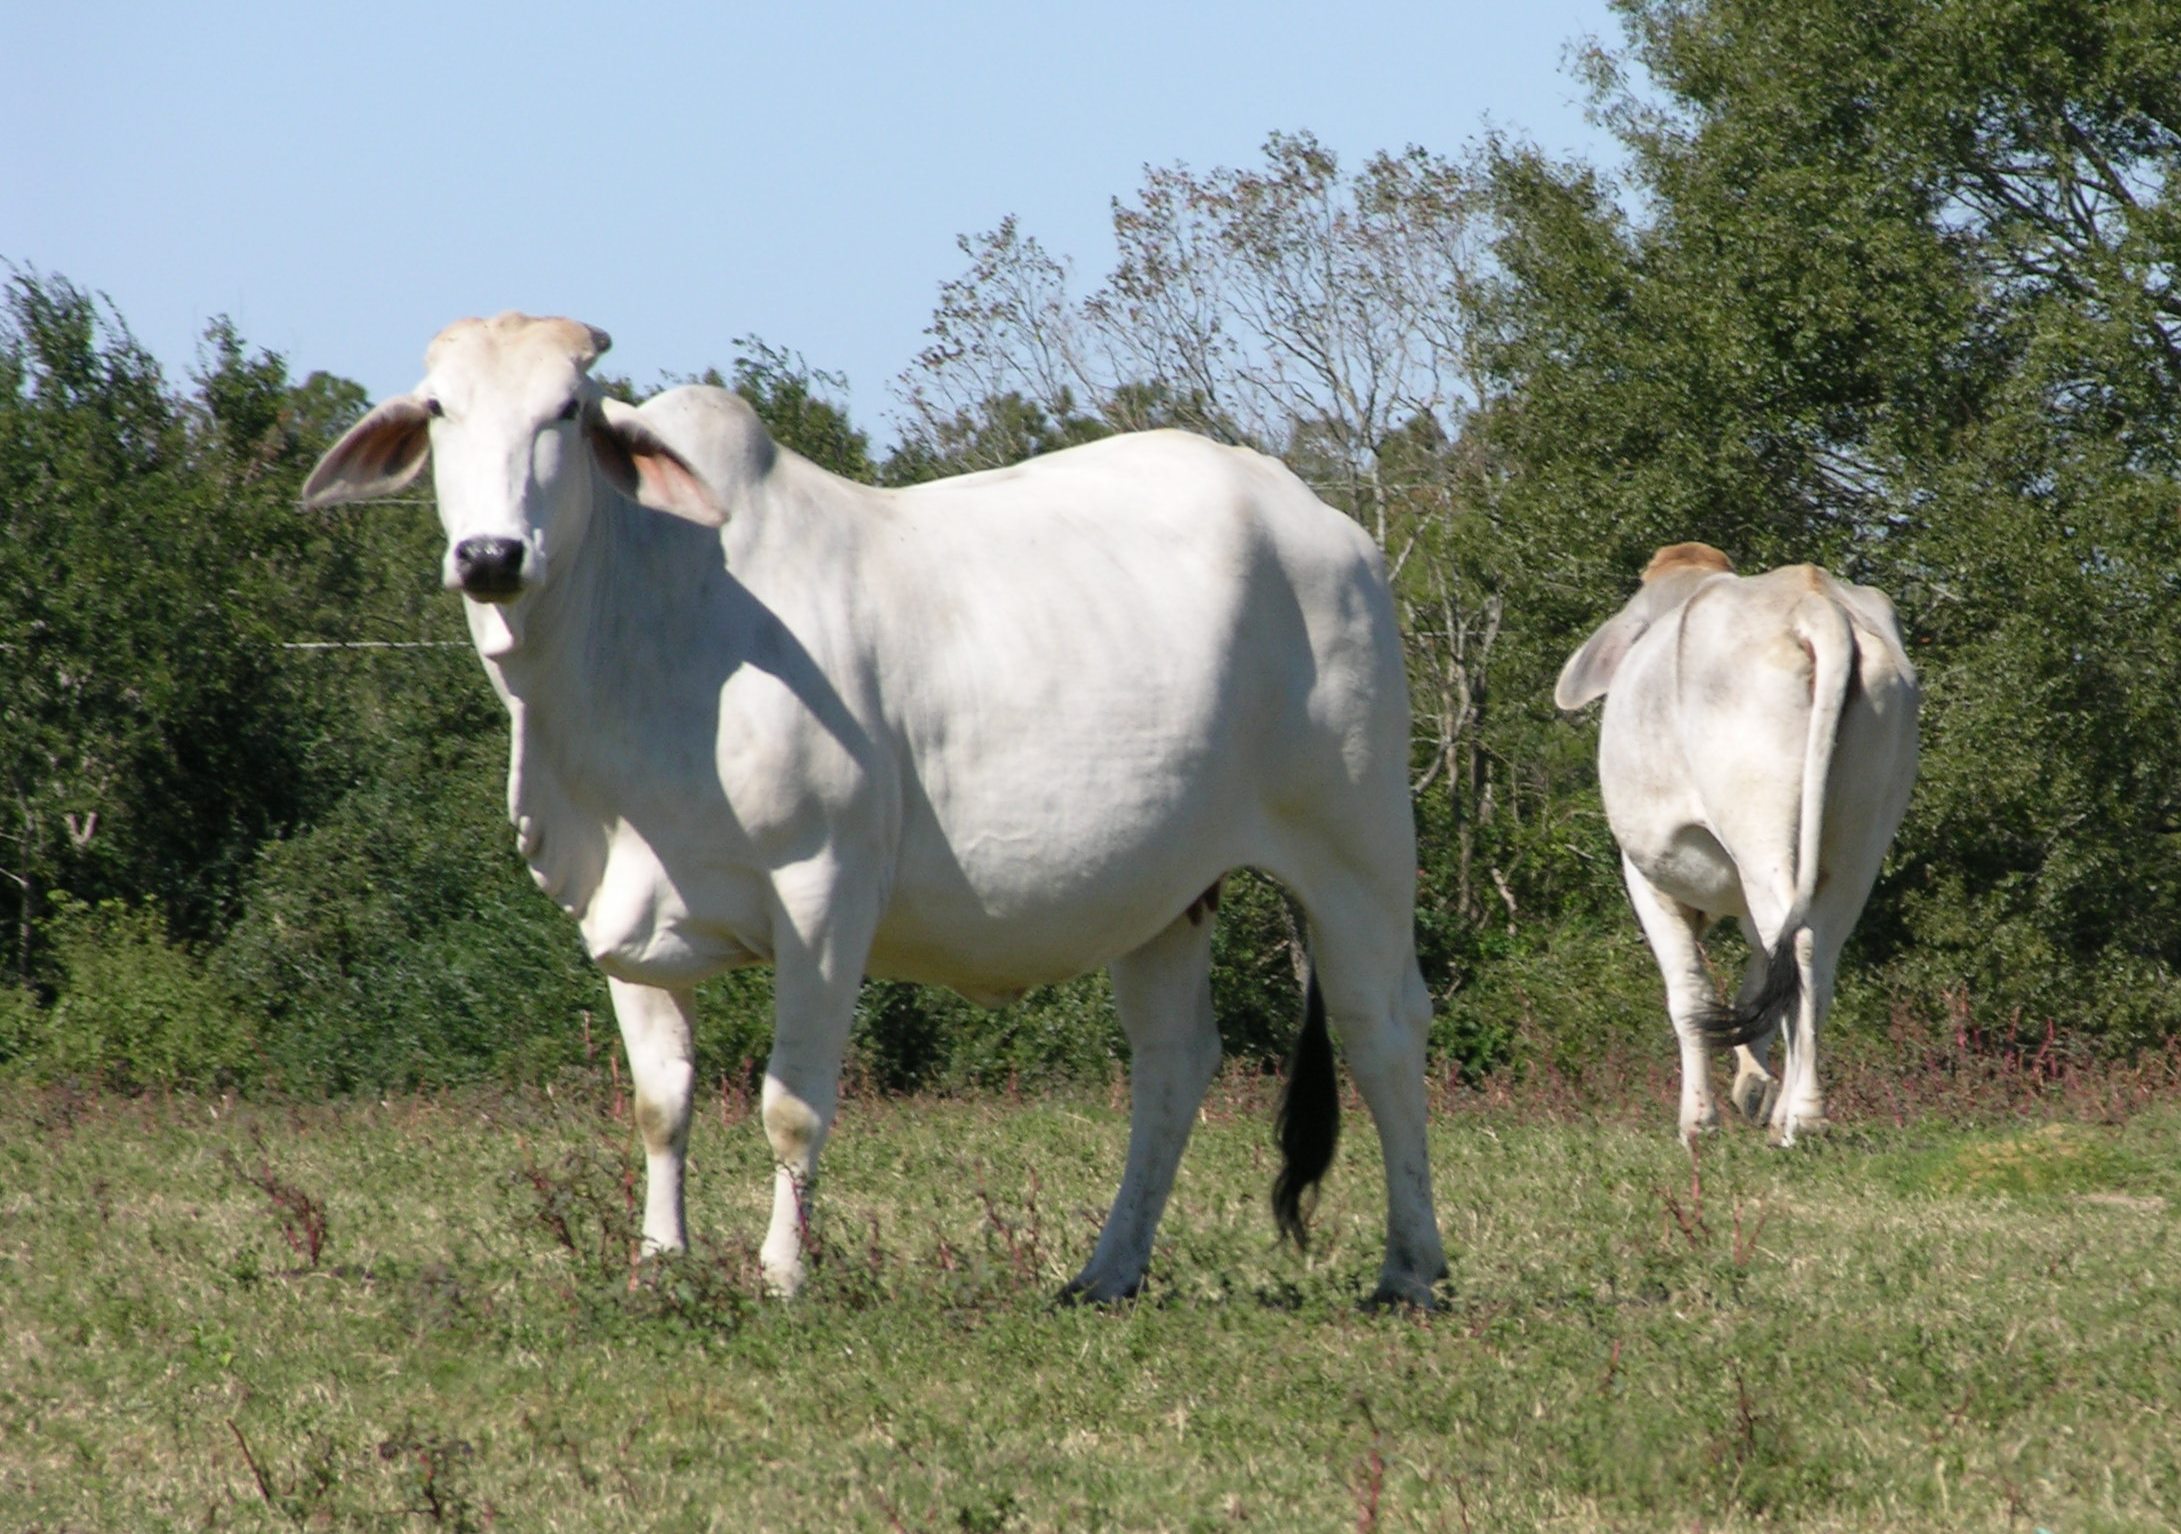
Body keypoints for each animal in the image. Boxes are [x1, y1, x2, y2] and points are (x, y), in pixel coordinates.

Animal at [300, 313, 1446, 1305]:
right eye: (439, 408)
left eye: (569, 410)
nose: (492, 555)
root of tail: (1315, 515)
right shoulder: (615, 909)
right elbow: (662, 1103)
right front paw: (659, 1265)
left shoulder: (823, 888)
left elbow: (792, 1104)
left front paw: (781, 1273)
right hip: (1166, 889)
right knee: (1173, 1063)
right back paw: (1107, 1269)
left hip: (1357, 843)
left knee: (1382, 1027)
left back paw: (1411, 1269)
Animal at [1554, 543, 1918, 1147]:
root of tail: (1812, 599)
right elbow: (1756, 990)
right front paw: (1752, 1084)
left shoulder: (1645, 878)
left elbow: (1690, 994)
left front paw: (1699, 1120)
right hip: (1857, 847)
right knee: (1814, 958)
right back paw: (1790, 1110)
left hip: (1760, 836)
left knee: (1799, 947)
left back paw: (1801, 1118)